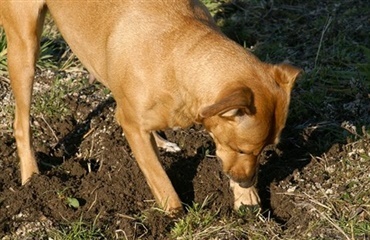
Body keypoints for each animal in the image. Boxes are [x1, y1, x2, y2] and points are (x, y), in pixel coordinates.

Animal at [0, 0, 300, 214]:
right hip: (24, 46)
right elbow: (161, 181)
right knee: (21, 124)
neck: (180, 54)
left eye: (265, 150)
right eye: (242, 149)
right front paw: (176, 218)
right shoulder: (132, 125)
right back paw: (31, 176)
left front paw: (247, 199)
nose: (248, 181)